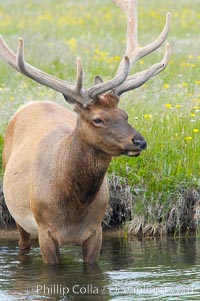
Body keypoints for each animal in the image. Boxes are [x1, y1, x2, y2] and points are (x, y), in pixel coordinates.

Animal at [0, 0, 171, 262]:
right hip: (18, 216)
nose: (140, 141)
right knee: (22, 244)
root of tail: (32, 103)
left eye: (125, 114)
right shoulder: (45, 231)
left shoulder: (96, 231)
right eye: (98, 119)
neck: (72, 210)